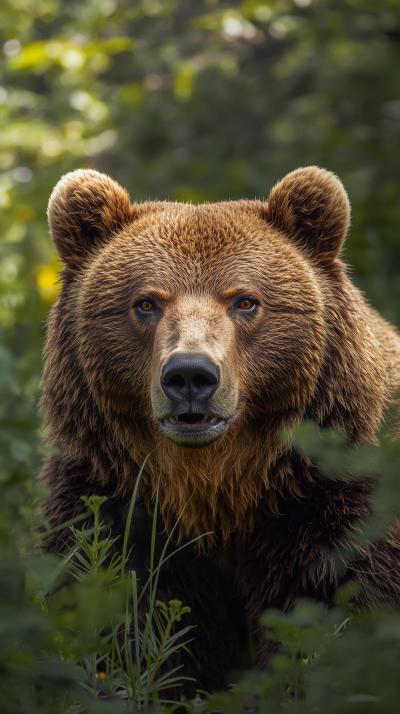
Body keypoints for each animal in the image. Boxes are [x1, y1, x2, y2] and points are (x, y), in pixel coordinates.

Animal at [40, 166, 400, 693]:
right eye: (146, 302)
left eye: (245, 301)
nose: (190, 375)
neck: (220, 488)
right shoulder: (112, 501)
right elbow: (125, 618)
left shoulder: (335, 508)